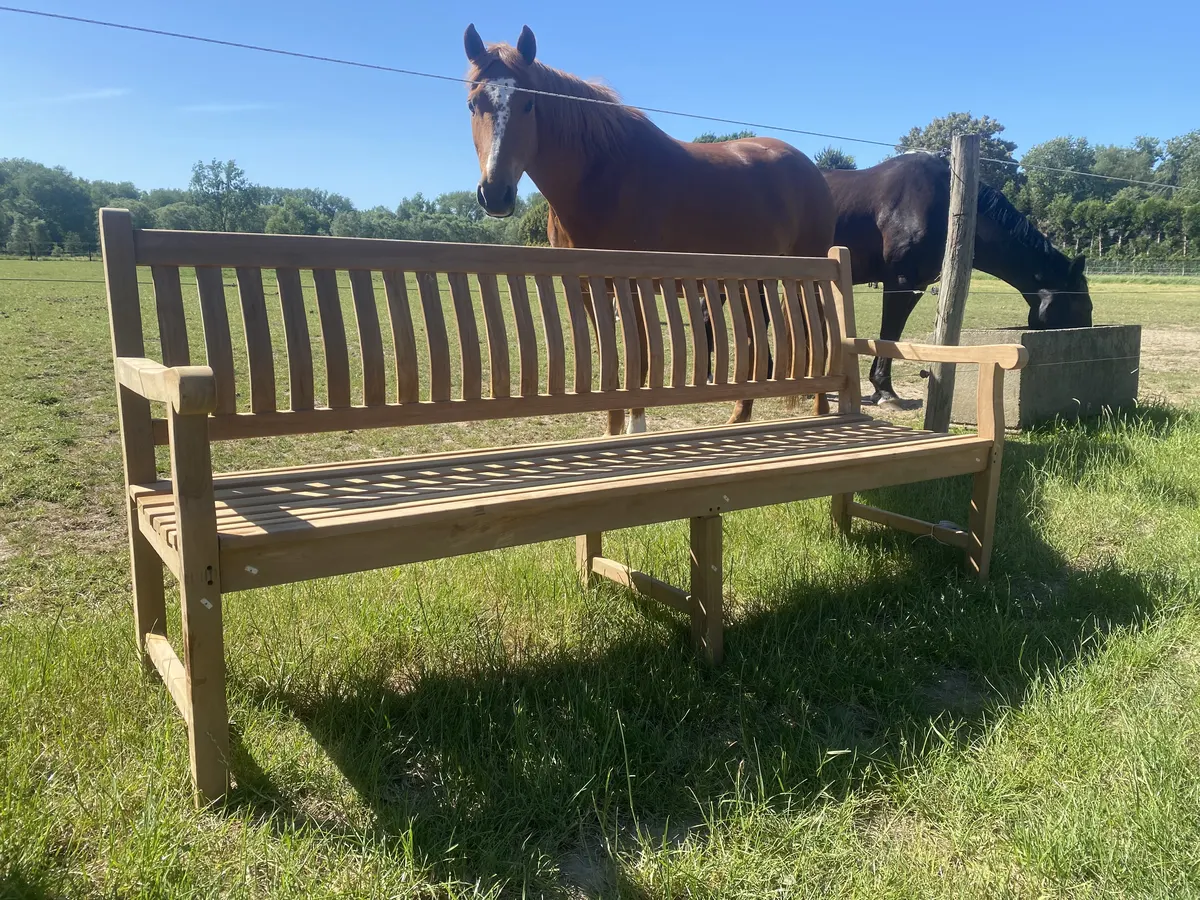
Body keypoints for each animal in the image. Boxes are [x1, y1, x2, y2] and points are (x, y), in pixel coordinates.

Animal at [463, 24, 836, 434]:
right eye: (472, 104)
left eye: (529, 104)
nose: (495, 193)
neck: (602, 176)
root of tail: (809, 167)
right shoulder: (590, 288)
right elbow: (610, 360)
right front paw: (612, 432)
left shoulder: (632, 286)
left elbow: (640, 356)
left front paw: (635, 428)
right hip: (750, 282)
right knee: (756, 342)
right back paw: (740, 416)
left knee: (821, 331)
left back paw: (821, 410)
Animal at [823, 151, 1093, 406]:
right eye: (1083, 306)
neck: (943, 204)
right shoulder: (900, 281)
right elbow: (888, 333)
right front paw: (885, 391)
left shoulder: (917, 286)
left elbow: (894, 334)